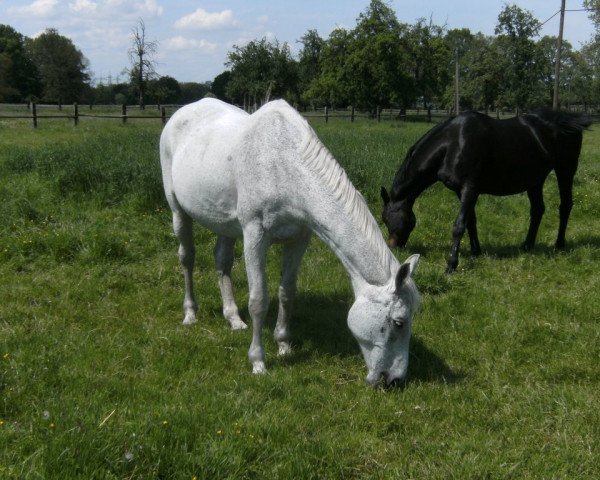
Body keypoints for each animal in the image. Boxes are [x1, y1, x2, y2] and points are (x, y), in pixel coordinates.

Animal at [161, 97, 422, 386]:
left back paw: (234, 319)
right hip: (178, 210)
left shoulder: (299, 238)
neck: (284, 166)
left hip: (224, 223)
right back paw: (190, 313)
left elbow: (287, 292)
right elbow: (258, 300)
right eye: (399, 322)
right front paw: (258, 362)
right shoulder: (254, 236)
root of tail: (180, 113)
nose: (395, 380)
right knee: (187, 257)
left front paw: (284, 345)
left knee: (222, 261)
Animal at [382, 109, 588, 274]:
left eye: (387, 219)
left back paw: (559, 245)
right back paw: (527, 246)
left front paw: (451, 264)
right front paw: (476, 252)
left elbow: (459, 226)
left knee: (565, 206)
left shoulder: (470, 188)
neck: (454, 143)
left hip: (565, 169)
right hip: (535, 180)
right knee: (537, 210)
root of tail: (567, 120)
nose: (393, 247)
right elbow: (471, 221)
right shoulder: (462, 191)